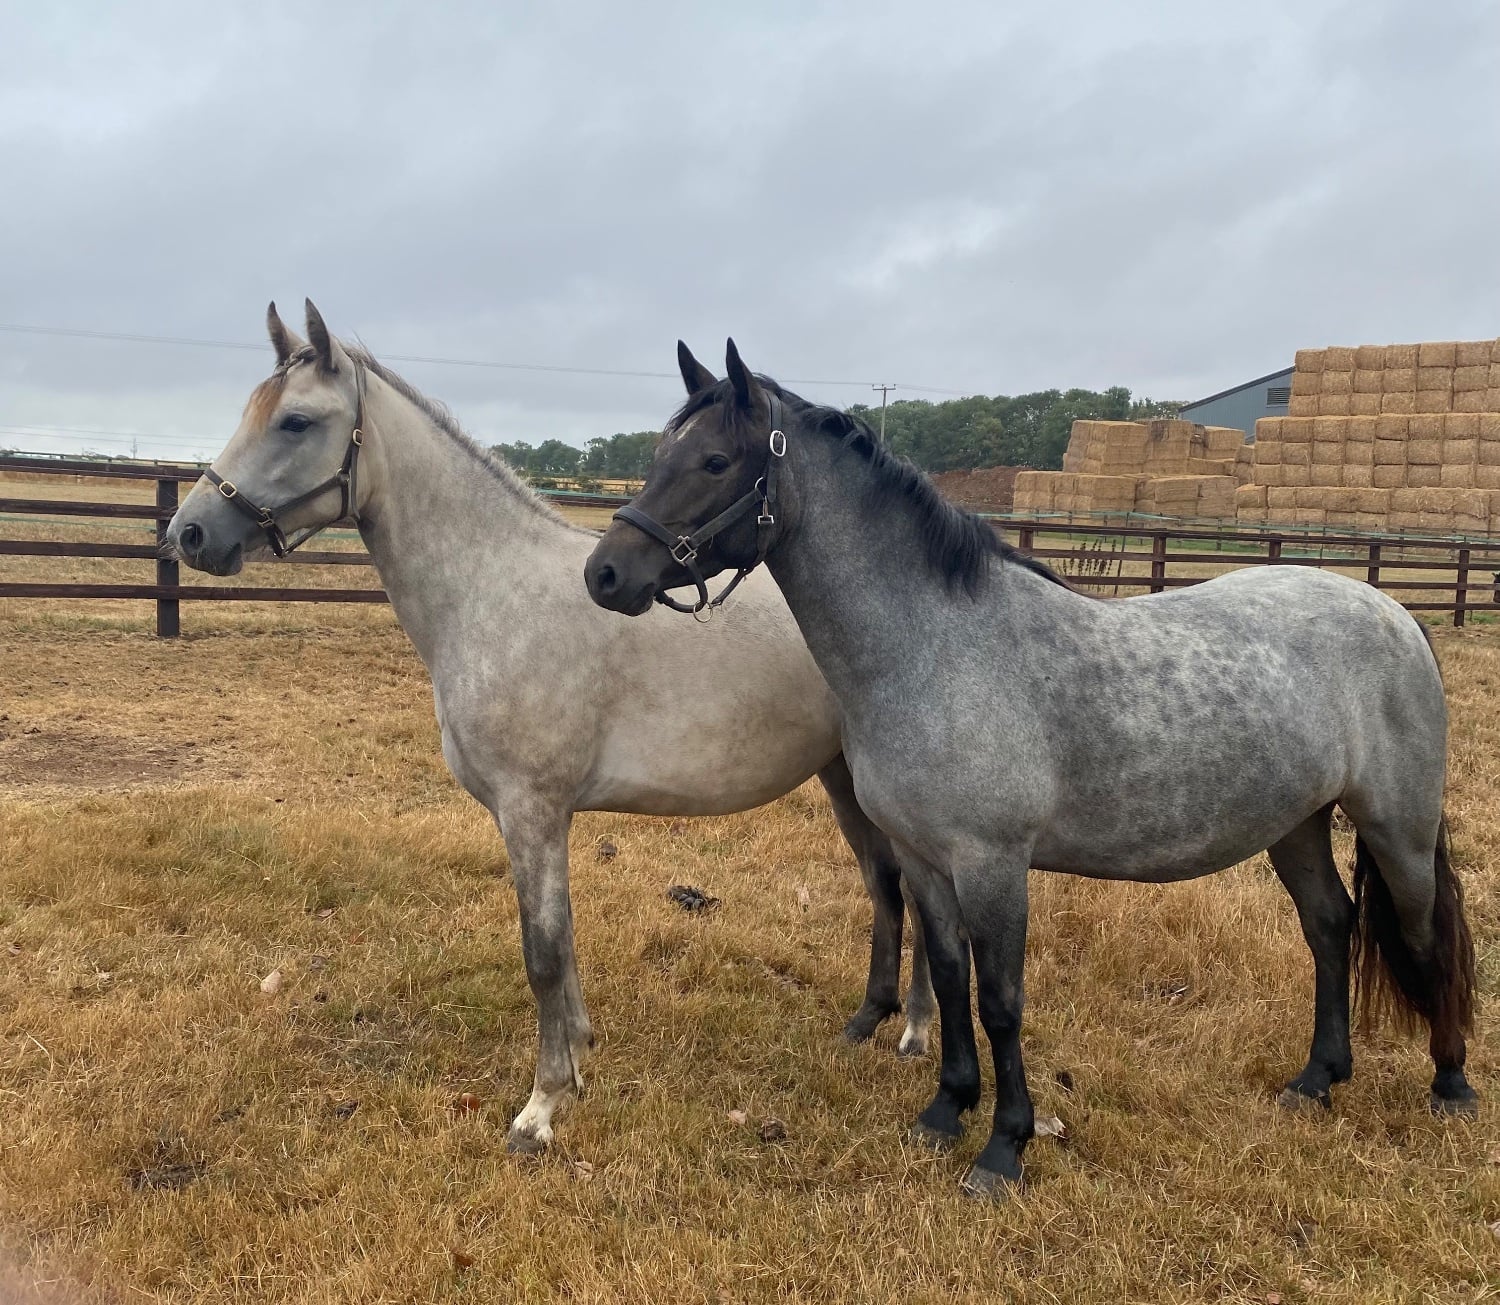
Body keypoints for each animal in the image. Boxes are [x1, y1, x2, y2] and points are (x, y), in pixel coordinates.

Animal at [165, 303, 935, 1154]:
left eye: (296, 421)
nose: (189, 532)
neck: (489, 592)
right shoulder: (538, 816)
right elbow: (560, 947)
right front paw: (580, 1058)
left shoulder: (532, 808)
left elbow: (540, 953)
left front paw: (541, 1107)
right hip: (842, 777)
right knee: (887, 887)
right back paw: (871, 1022)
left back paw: (915, 1033)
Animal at [583, 339, 1479, 1199]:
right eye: (661, 452)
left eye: (714, 461)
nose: (604, 573)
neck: (935, 646)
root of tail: (1397, 612)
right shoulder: (924, 859)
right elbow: (950, 980)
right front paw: (944, 1110)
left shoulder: (993, 865)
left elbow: (1001, 1001)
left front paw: (1003, 1148)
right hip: (1295, 824)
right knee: (1329, 925)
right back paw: (1317, 1079)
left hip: (1396, 826)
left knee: (1423, 930)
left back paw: (1451, 1084)